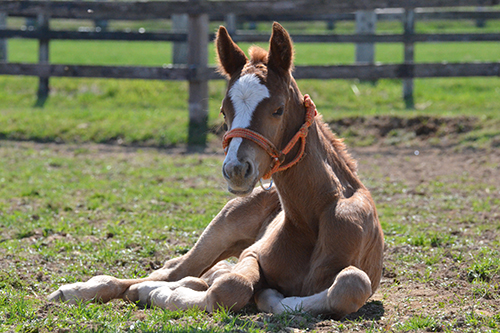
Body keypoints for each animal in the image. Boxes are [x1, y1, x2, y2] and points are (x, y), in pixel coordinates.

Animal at [47, 22, 382, 318]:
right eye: (224, 110)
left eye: (278, 109)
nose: (236, 169)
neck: (312, 216)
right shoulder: (251, 255)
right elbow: (230, 287)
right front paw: (160, 294)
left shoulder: (354, 272)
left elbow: (350, 284)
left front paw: (274, 298)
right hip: (220, 231)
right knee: (168, 272)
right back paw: (78, 290)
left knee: (194, 273)